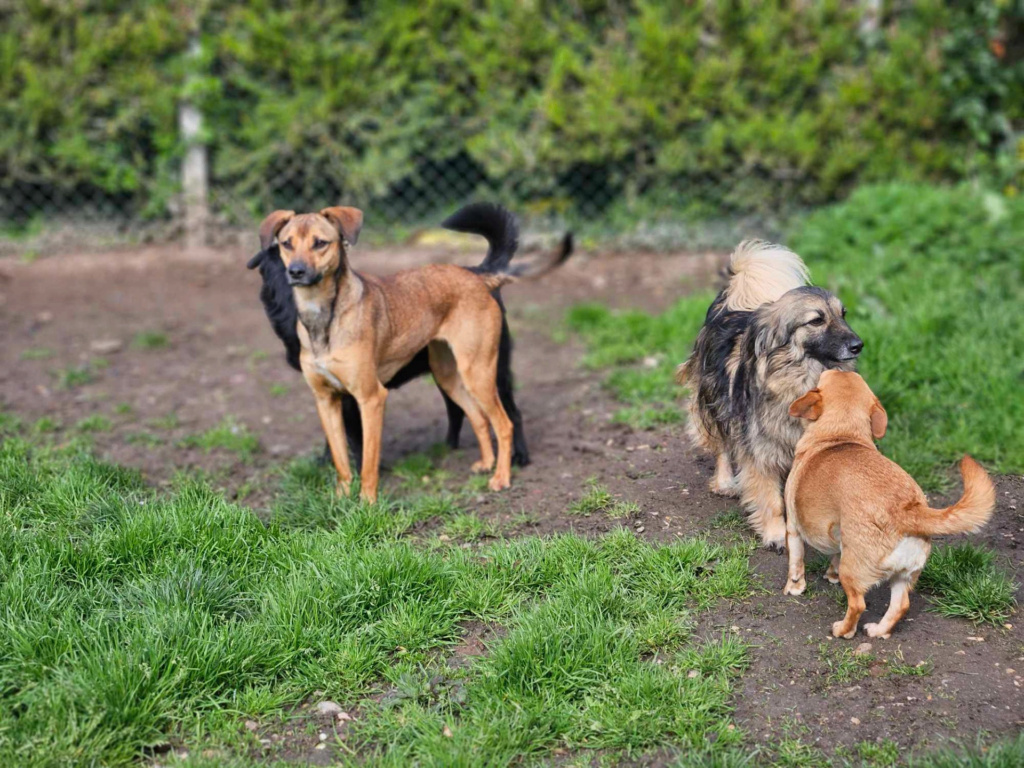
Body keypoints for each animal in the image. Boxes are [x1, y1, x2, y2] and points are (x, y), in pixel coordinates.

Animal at [258, 207, 561, 501]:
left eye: (320, 243)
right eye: (286, 244)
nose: (296, 271)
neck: (324, 317)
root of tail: (477, 276)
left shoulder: (370, 399)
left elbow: (367, 462)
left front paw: (367, 504)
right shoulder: (326, 400)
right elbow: (341, 459)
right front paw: (341, 498)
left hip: (480, 373)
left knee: (505, 422)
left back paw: (502, 477)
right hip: (448, 376)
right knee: (478, 416)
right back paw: (487, 463)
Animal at [679, 243, 864, 548]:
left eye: (843, 314)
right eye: (816, 320)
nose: (858, 345)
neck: (803, 376)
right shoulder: (760, 450)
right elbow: (770, 497)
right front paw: (776, 533)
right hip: (713, 402)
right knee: (721, 444)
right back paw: (725, 482)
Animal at [782, 370, 991, 638]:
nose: (839, 365)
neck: (841, 436)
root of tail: (907, 510)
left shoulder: (793, 528)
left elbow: (796, 563)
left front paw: (794, 587)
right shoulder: (840, 536)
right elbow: (835, 556)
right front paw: (831, 574)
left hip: (855, 573)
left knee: (858, 605)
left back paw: (843, 630)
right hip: (904, 577)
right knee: (901, 605)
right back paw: (879, 630)